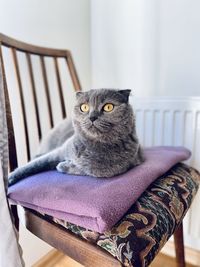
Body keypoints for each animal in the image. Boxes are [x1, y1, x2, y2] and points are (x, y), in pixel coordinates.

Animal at [8, 88, 145, 186]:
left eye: (108, 107)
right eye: (84, 107)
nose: (92, 117)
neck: (93, 147)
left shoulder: (127, 164)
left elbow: (89, 170)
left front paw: (63, 165)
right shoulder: (59, 151)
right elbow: (34, 164)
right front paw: (10, 178)